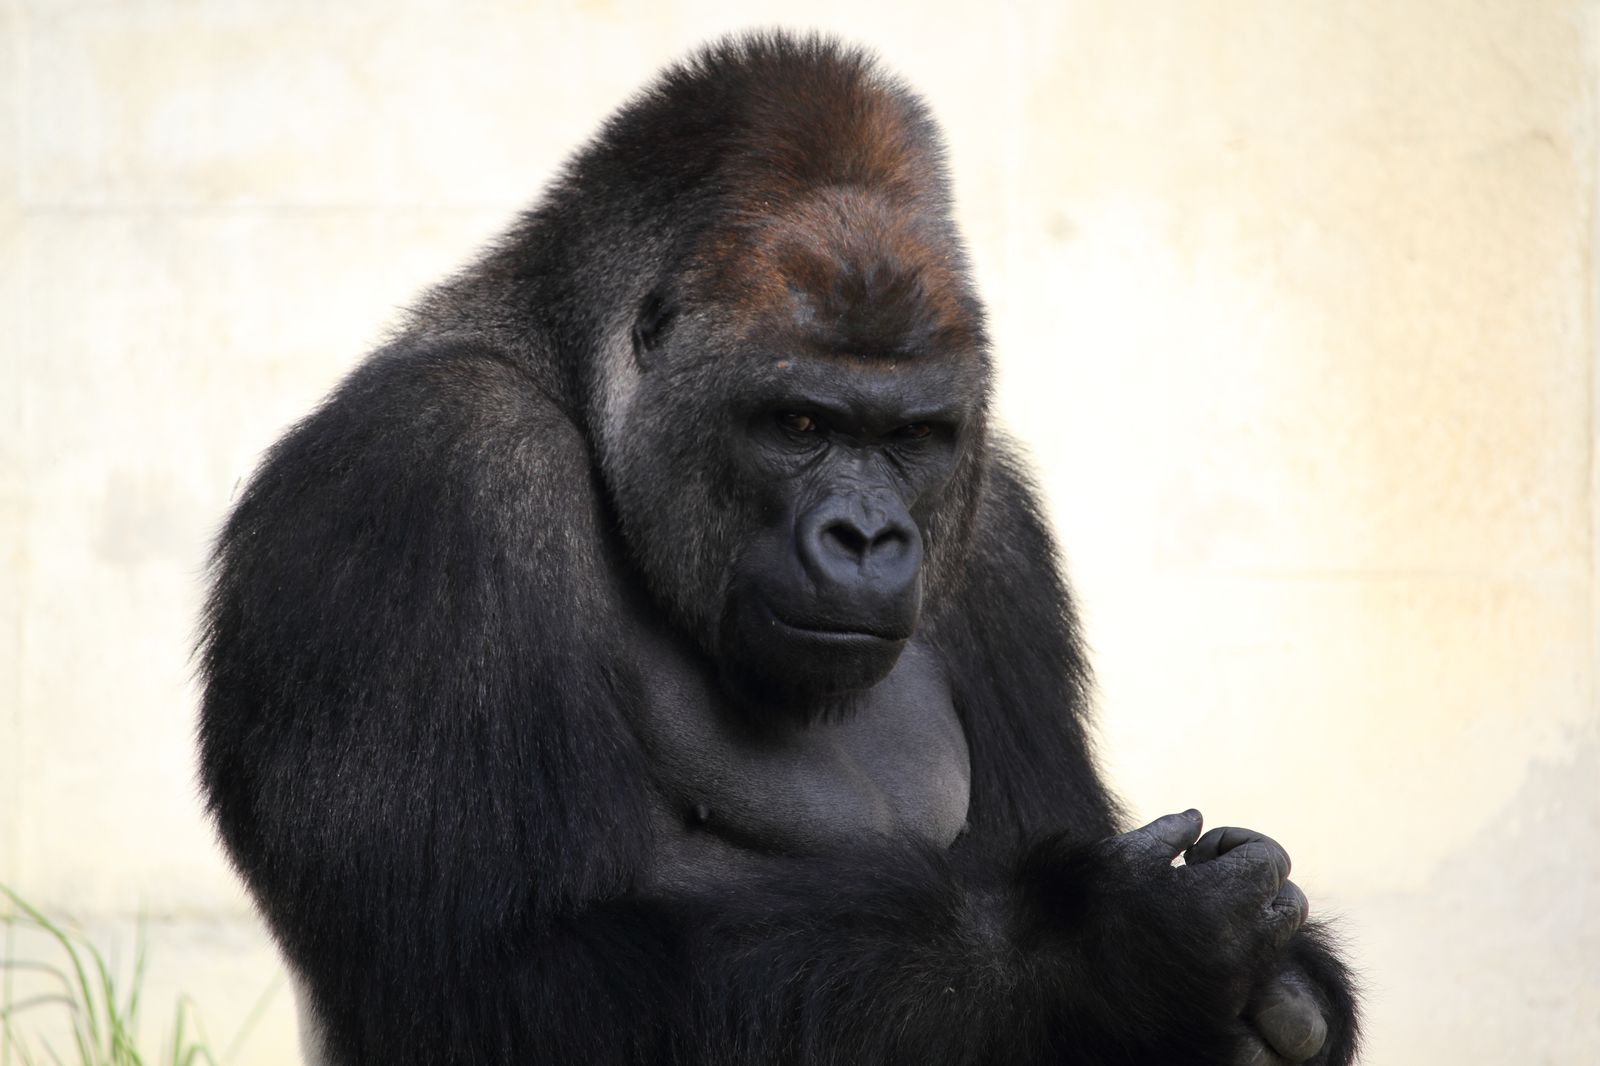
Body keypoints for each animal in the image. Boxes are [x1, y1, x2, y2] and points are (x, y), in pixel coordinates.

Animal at [193, 31, 1356, 1062]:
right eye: (799, 424)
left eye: (910, 438)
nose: (867, 537)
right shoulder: (428, 472)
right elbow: (496, 977)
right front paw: (1105, 952)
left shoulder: (999, 543)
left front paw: (1285, 996)